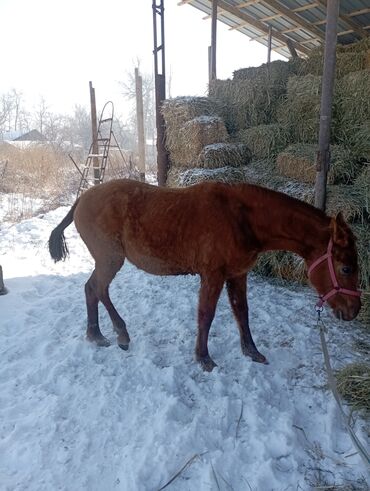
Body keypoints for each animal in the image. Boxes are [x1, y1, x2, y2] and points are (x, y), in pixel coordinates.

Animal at [49, 181, 362, 372]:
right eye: (346, 268)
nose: (353, 311)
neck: (241, 218)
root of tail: (82, 198)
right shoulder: (213, 275)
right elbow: (206, 315)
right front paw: (203, 358)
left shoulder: (237, 275)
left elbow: (242, 313)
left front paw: (251, 352)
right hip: (110, 259)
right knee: (97, 289)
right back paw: (118, 333)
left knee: (92, 290)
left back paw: (97, 334)